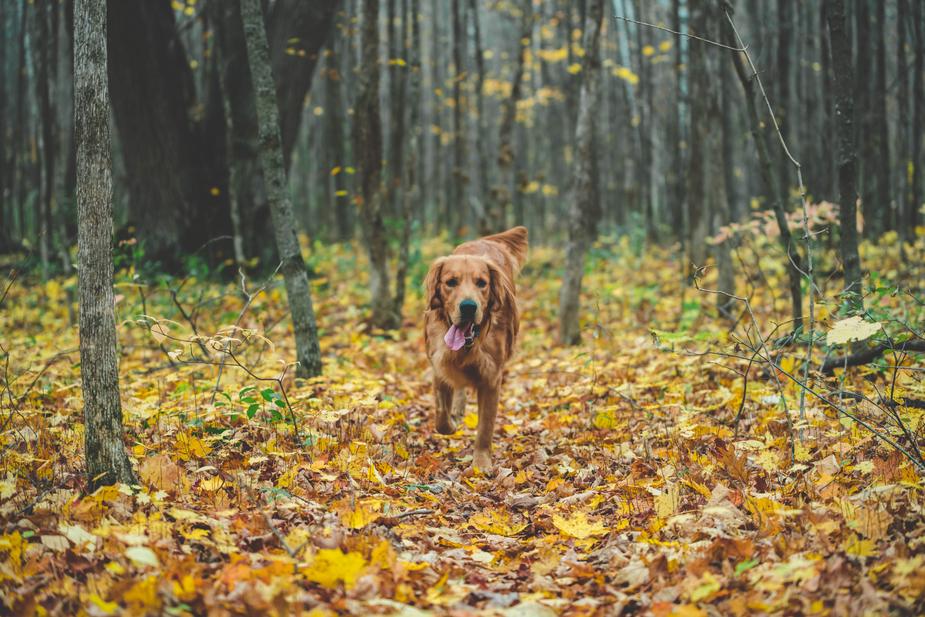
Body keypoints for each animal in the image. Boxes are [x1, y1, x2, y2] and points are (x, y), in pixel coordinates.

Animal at [420, 226, 528, 472]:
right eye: (451, 282)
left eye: (482, 283)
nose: (468, 307)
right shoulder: (439, 366)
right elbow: (441, 417)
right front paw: (451, 423)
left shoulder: (491, 378)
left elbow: (485, 428)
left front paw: (481, 463)